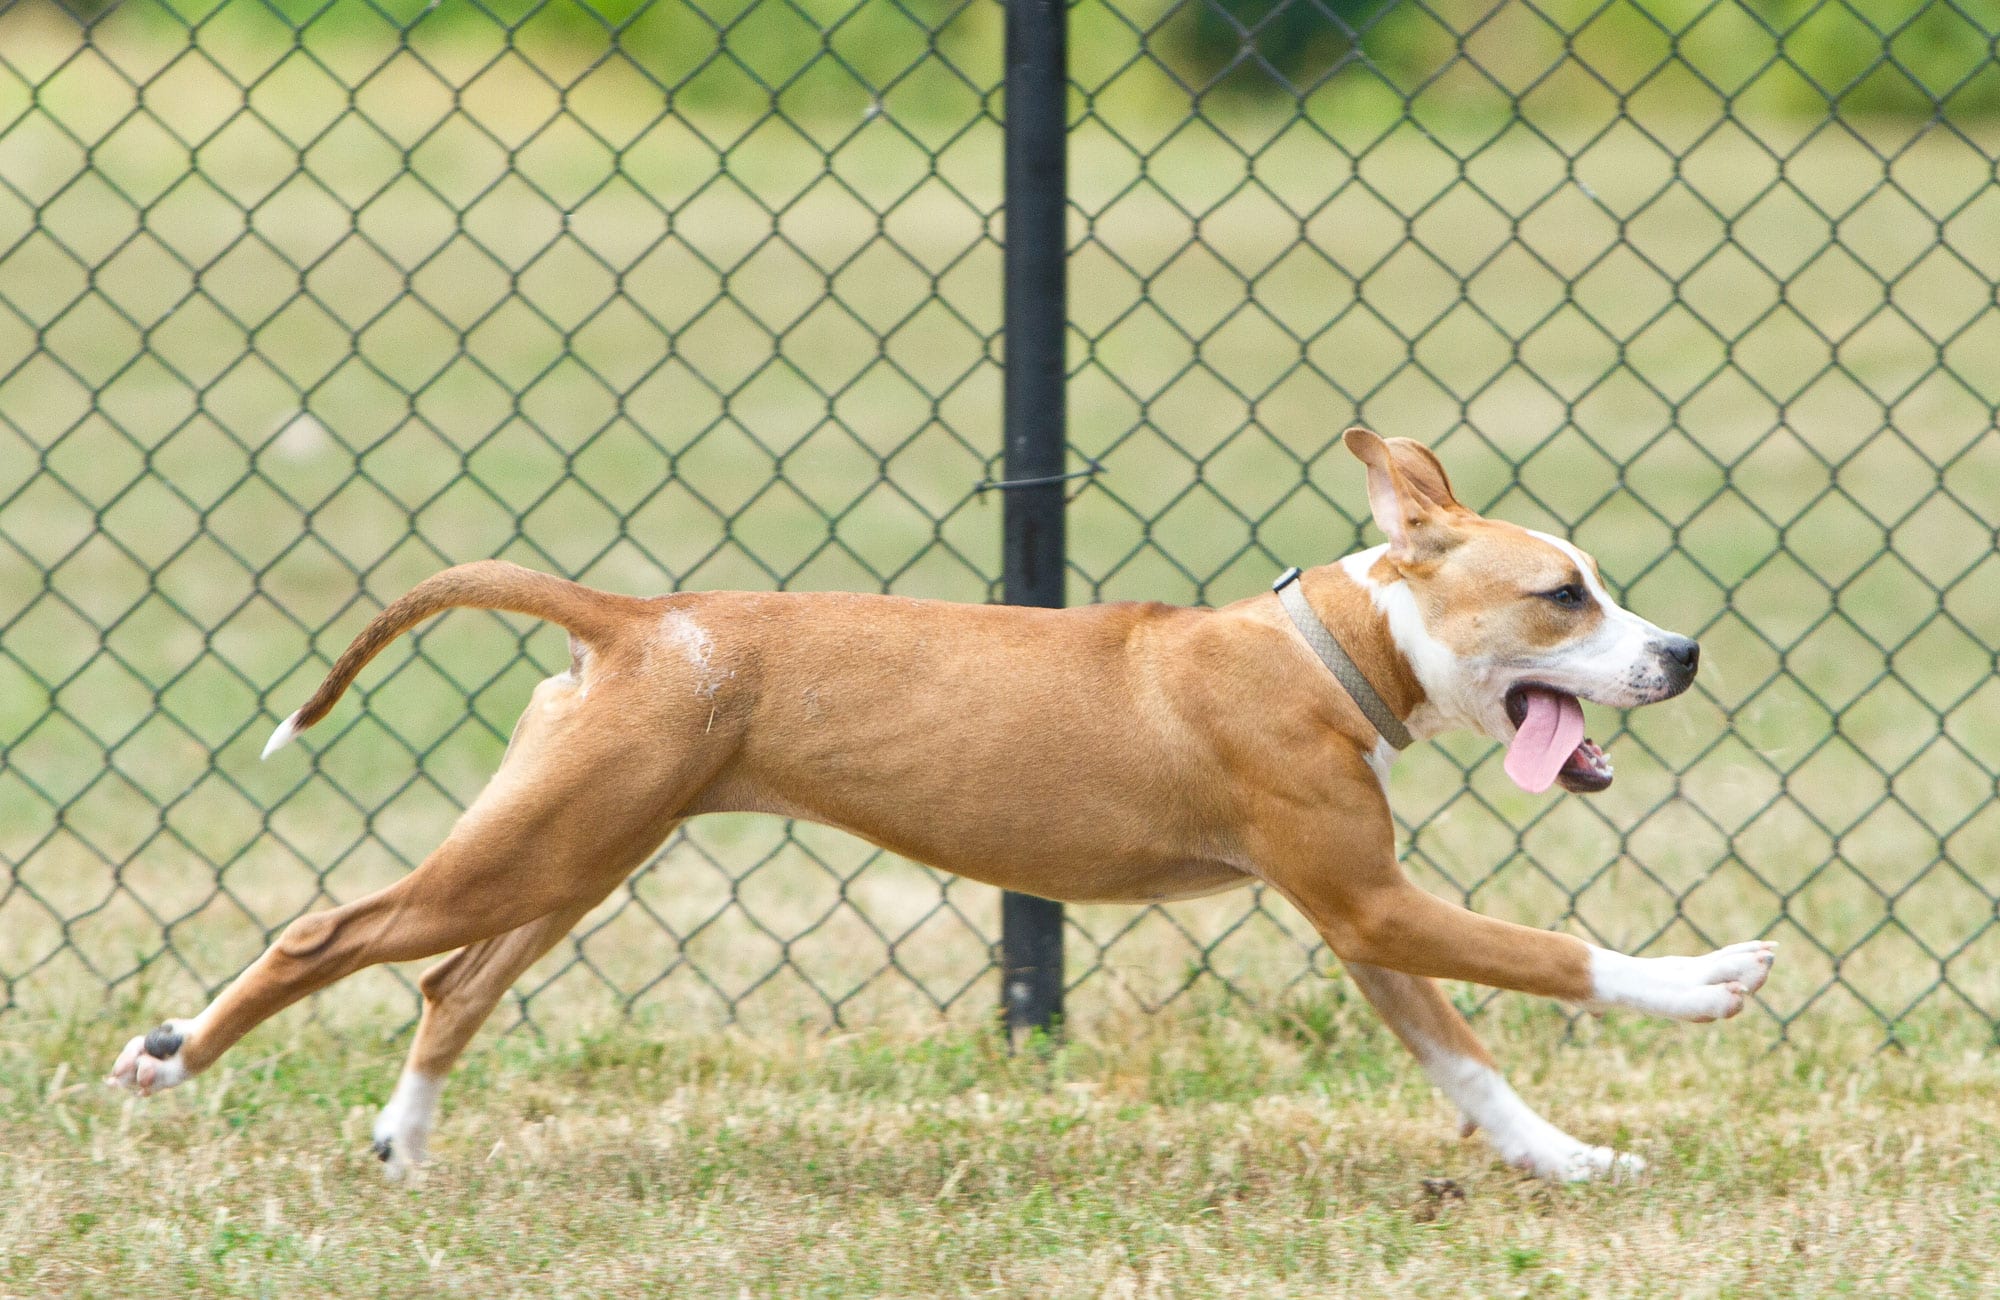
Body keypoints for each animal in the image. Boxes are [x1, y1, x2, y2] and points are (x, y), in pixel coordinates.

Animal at [109, 430, 1776, 1176]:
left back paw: (402, 1139)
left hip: (576, 852)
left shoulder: (1364, 924)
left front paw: (1571, 1163)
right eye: (1565, 596)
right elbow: (1555, 956)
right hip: (535, 852)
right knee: (329, 937)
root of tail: (637, 618)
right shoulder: (1371, 903)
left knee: (451, 986)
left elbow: (1471, 1066)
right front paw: (1703, 981)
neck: (1330, 648)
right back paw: (172, 1060)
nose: (1687, 652)